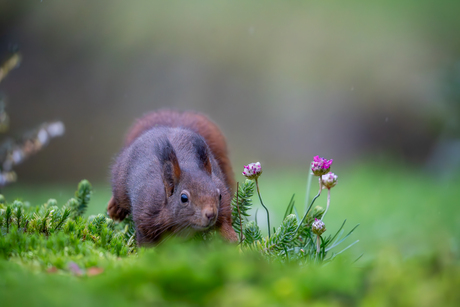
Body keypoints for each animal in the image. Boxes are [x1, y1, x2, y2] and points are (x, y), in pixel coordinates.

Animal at [107, 109, 237, 244]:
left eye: (219, 195)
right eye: (184, 198)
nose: (210, 214)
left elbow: (225, 218)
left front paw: (230, 237)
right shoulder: (145, 214)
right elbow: (145, 240)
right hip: (121, 182)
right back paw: (115, 209)